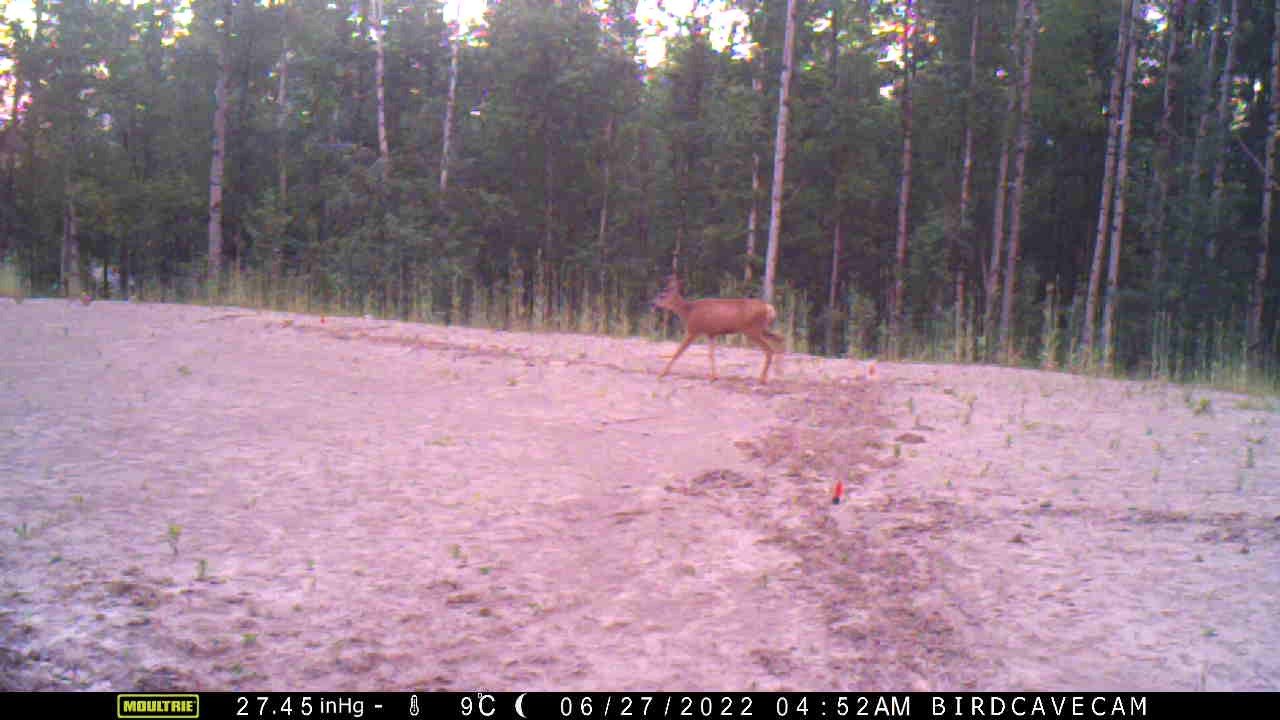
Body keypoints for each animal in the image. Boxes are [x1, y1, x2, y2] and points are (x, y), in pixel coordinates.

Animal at [653, 275, 786, 384]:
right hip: (762, 328)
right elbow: (711, 354)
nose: (653, 304)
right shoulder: (711, 333)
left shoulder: (693, 330)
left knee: (769, 350)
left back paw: (762, 379)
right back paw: (778, 374)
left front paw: (661, 374)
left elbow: (678, 352)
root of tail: (769, 308)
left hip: (752, 330)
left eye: (662, 296)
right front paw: (714, 377)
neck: (688, 311)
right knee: (780, 338)